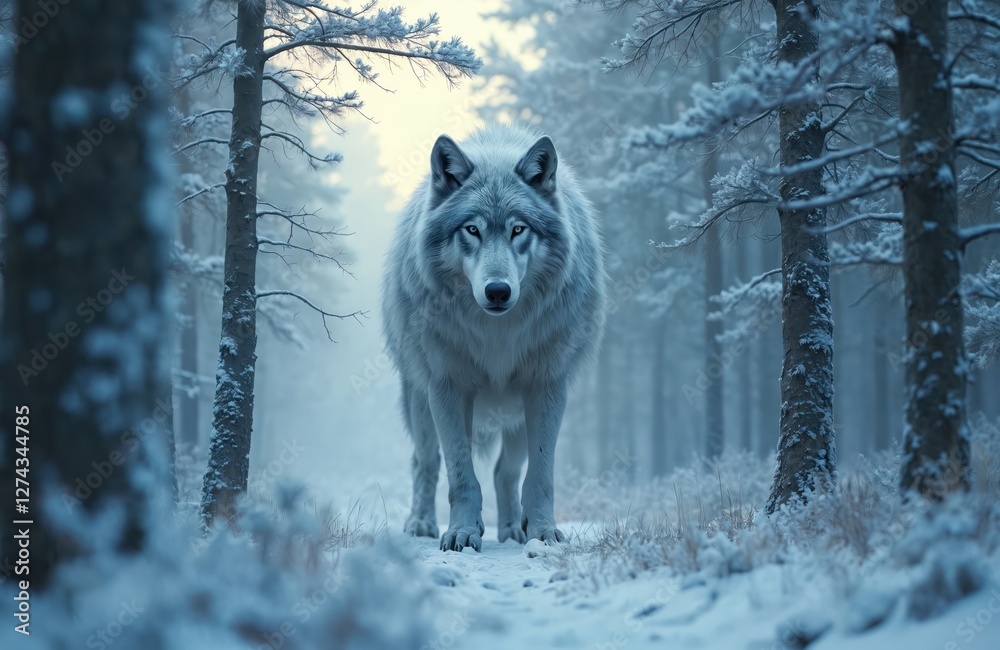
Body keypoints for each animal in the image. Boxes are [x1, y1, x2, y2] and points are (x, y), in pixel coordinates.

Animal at [382, 124, 607, 552]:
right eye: (473, 230)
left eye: (518, 229)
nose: (498, 291)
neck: (496, 336)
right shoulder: (447, 387)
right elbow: (460, 474)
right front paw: (462, 532)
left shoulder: (546, 388)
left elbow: (540, 474)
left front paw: (543, 533)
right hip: (419, 401)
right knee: (425, 463)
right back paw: (421, 523)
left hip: (516, 413)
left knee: (506, 471)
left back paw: (513, 531)